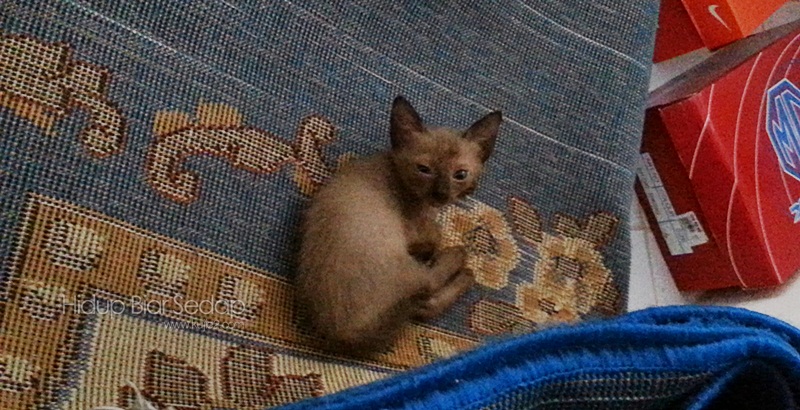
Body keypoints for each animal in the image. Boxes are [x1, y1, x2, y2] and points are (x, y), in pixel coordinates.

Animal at [296, 96, 502, 355]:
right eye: (424, 170)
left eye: (460, 174)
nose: (441, 194)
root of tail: (343, 335)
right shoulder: (415, 227)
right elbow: (435, 233)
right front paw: (434, 246)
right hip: (398, 258)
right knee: (429, 284)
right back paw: (462, 263)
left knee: (425, 305)